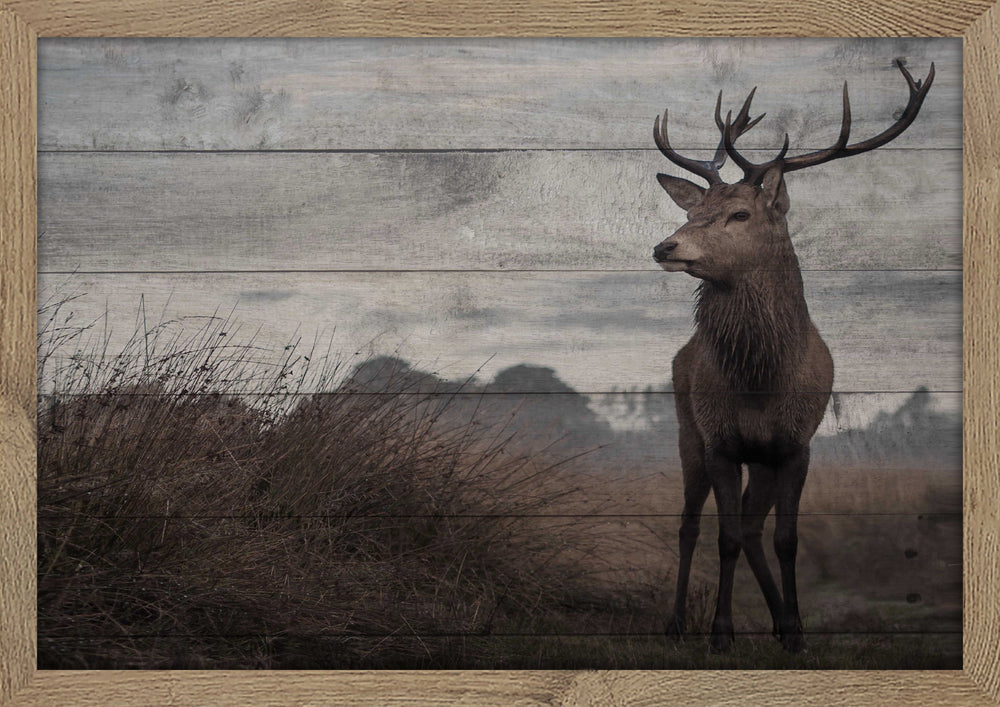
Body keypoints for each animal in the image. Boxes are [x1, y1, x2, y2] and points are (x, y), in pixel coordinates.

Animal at [651, 60, 934, 653]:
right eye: (696, 210)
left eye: (738, 214)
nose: (665, 246)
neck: (762, 380)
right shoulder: (719, 441)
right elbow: (724, 537)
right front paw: (721, 633)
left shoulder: (796, 445)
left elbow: (786, 538)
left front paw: (798, 632)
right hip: (688, 431)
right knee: (691, 525)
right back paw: (676, 624)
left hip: (760, 459)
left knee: (755, 529)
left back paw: (781, 622)